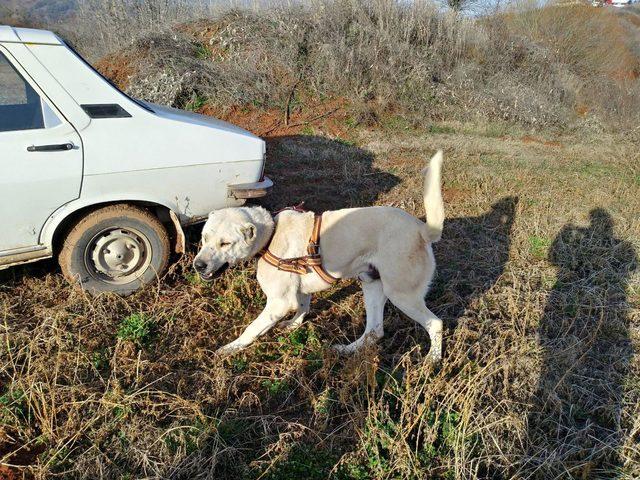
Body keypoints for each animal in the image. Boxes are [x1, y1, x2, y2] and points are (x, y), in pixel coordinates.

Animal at [194, 152, 444, 358]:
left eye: (225, 243)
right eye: (204, 238)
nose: (198, 265)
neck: (271, 234)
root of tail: (422, 230)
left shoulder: (278, 303)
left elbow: (251, 329)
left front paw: (231, 348)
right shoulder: (299, 291)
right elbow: (302, 306)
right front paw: (294, 324)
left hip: (400, 294)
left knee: (435, 324)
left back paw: (432, 361)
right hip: (371, 285)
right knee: (375, 331)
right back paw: (347, 350)